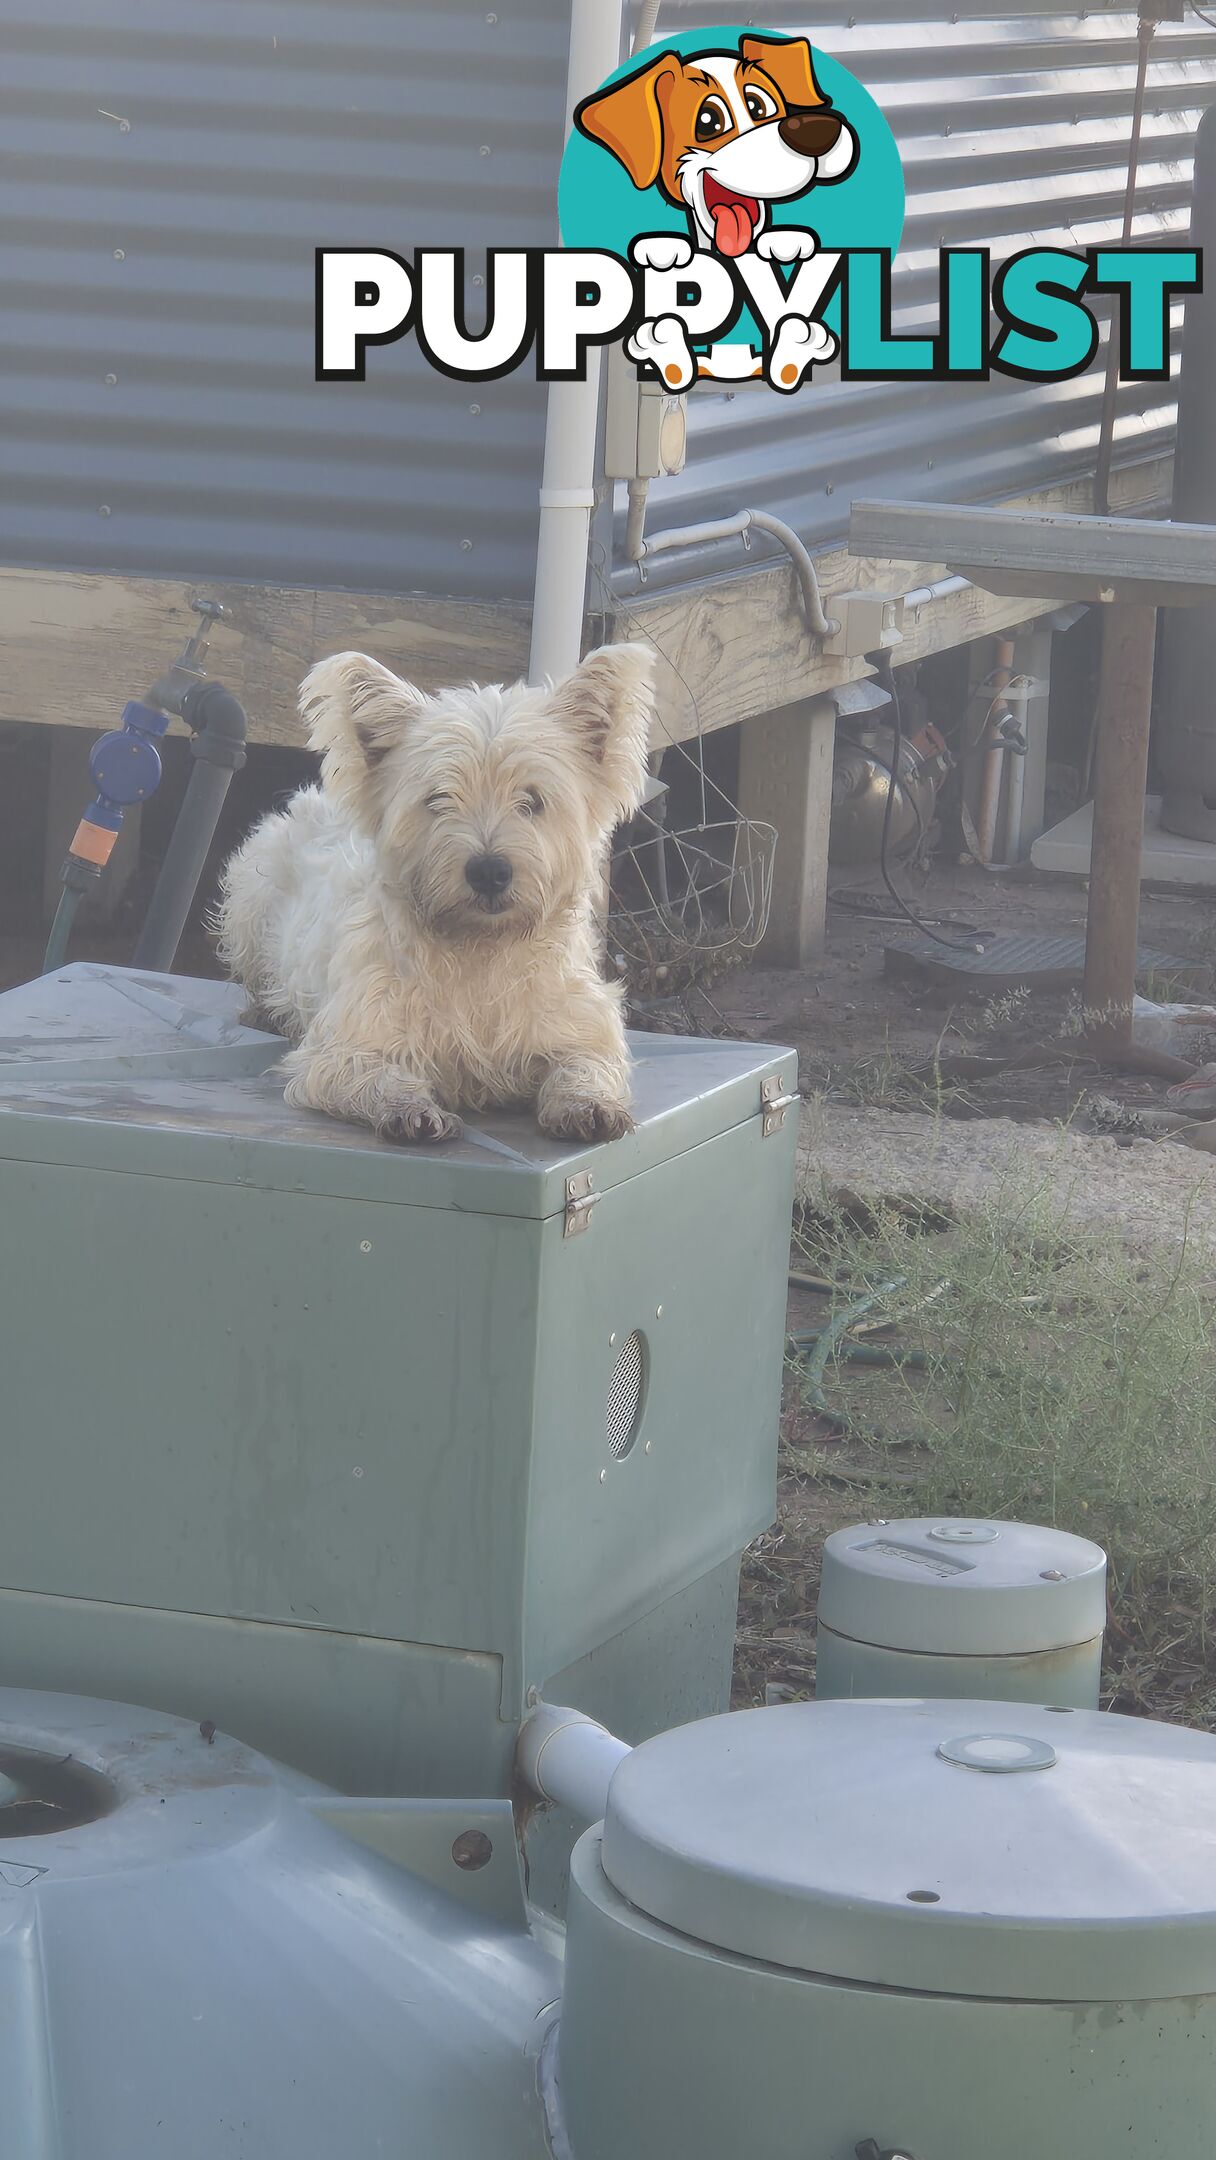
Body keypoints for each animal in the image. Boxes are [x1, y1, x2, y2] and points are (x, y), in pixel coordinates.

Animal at [219, 639, 656, 1149]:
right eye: (437, 798)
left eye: (533, 800)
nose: (489, 871)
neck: (481, 952)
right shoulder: (341, 1048)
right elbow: (375, 1073)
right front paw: (411, 1111)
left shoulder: (581, 1025)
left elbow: (584, 1065)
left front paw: (588, 1107)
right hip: (250, 898)